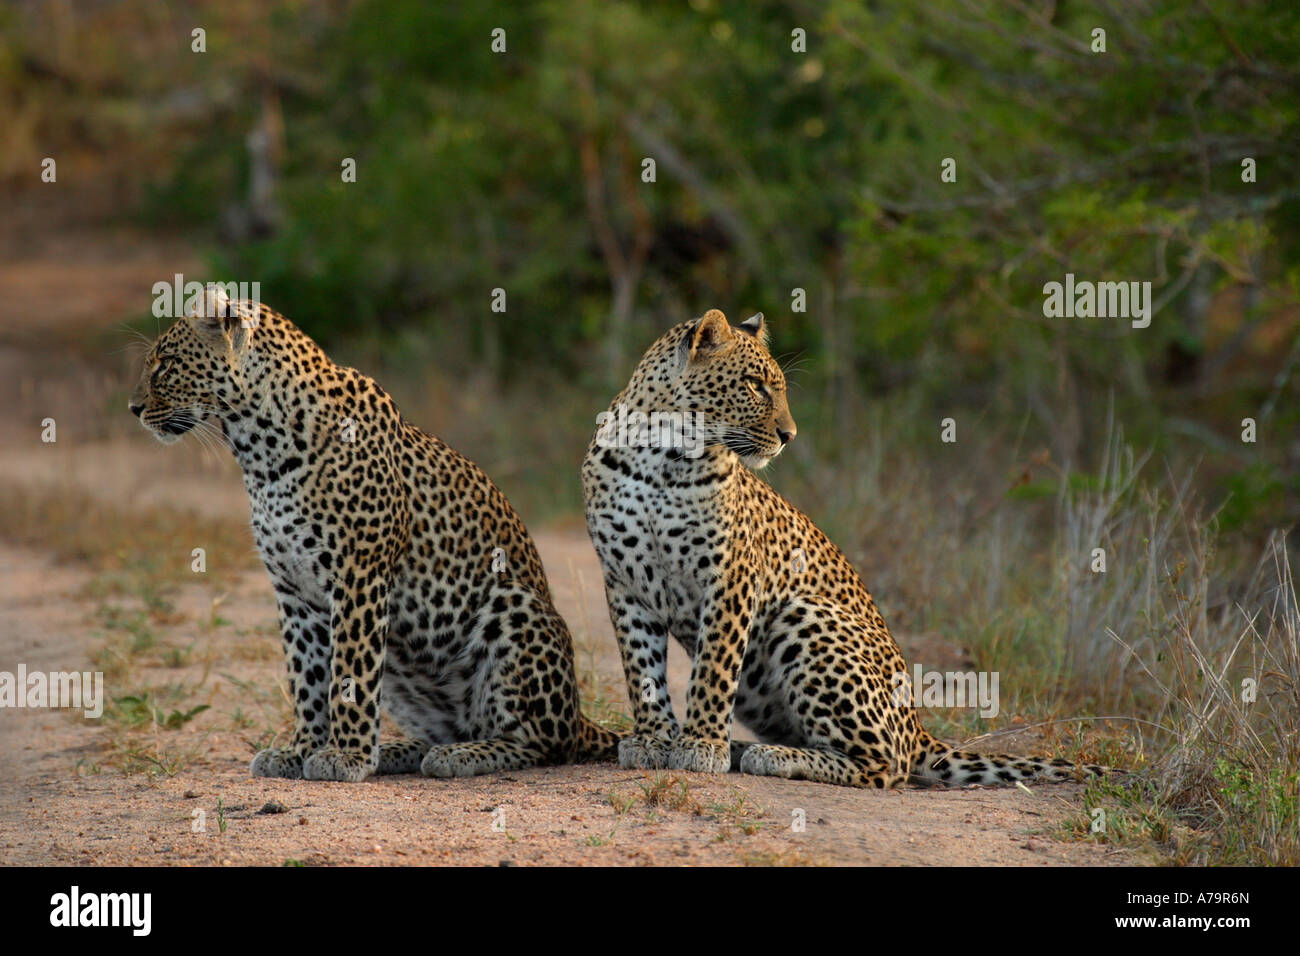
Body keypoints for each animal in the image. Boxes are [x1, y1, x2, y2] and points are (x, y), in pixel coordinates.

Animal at [129, 293, 616, 785]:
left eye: (164, 364)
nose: (133, 408)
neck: (259, 452)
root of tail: (580, 715)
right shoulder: (293, 591)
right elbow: (307, 678)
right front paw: (302, 749)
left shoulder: (357, 577)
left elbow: (350, 674)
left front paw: (344, 756)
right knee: (448, 730)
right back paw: (404, 751)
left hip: (514, 608)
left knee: (541, 742)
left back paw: (461, 756)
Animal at [585, 310, 1112, 790]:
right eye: (755, 385)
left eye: (777, 387)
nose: (789, 436)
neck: (660, 454)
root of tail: (919, 727)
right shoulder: (624, 581)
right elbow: (641, 667)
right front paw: (654, 738)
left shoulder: (730, 575)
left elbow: (714, 667)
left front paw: (700, 744)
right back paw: (748, 748)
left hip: (804, 615)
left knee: (885, 767)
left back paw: (768, 756)